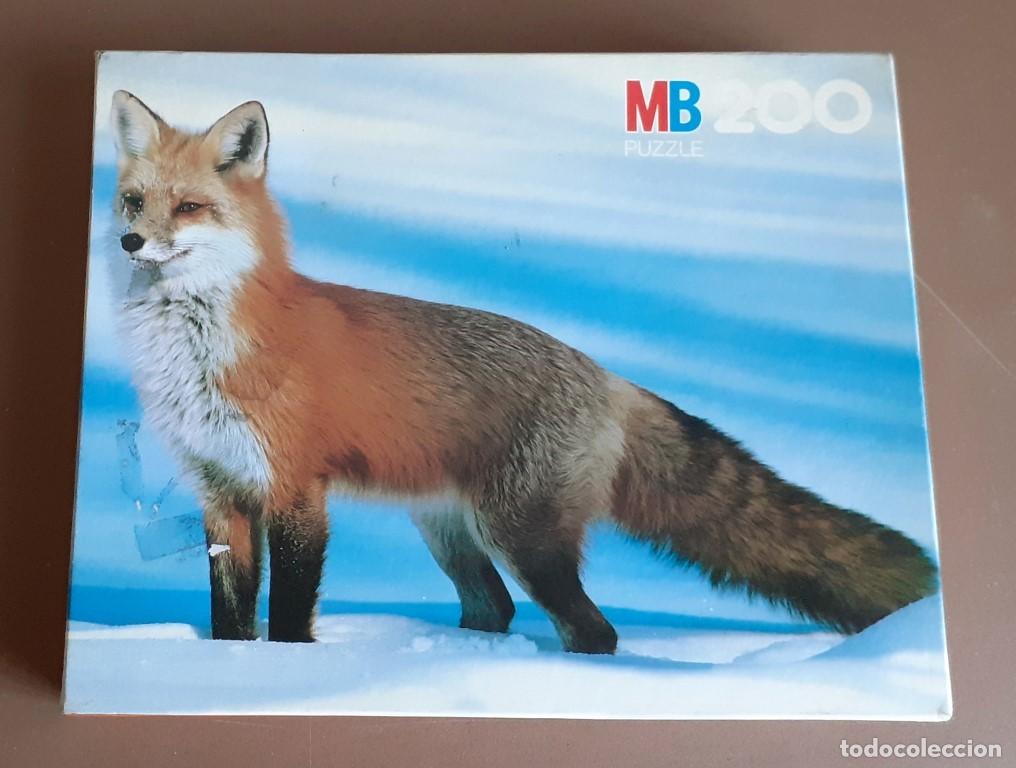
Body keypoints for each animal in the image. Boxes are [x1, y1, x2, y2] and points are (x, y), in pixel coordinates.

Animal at [106, 90, 937, 654]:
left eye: (189, 208)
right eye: (134, 201)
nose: (128, 243)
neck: (201, 352)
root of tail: (605, 374)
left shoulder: (293, 490)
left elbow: (285, 619)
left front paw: (285, 674)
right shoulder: (220, 493)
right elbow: (229, 618)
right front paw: (229, 669)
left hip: (522, 535)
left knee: (593, 631)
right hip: (452, 533)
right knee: (497, 611)